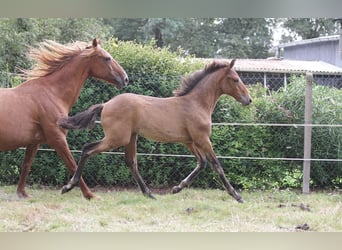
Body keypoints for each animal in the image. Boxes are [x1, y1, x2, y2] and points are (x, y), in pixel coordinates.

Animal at [0, 38, 128, 199]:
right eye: (107, 58)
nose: (125, 79)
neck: (52, 93)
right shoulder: (57, 138)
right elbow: (72, 165)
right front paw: (87, 194)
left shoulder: (34, 142)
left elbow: (26, 165)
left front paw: (22, 194)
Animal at [58, 59, 251, 203]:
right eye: (235, 79)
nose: (248, 100)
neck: (196, 103)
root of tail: (106, 104)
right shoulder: (202, 139)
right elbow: (216, 165)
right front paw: (237, 196)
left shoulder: (189, 141)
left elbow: (201, 163)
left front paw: (176, 188)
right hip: (117, 138)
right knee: (87, 149)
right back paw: (69, 186)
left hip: (130, 137)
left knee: (131, 162)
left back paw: (149, 194)